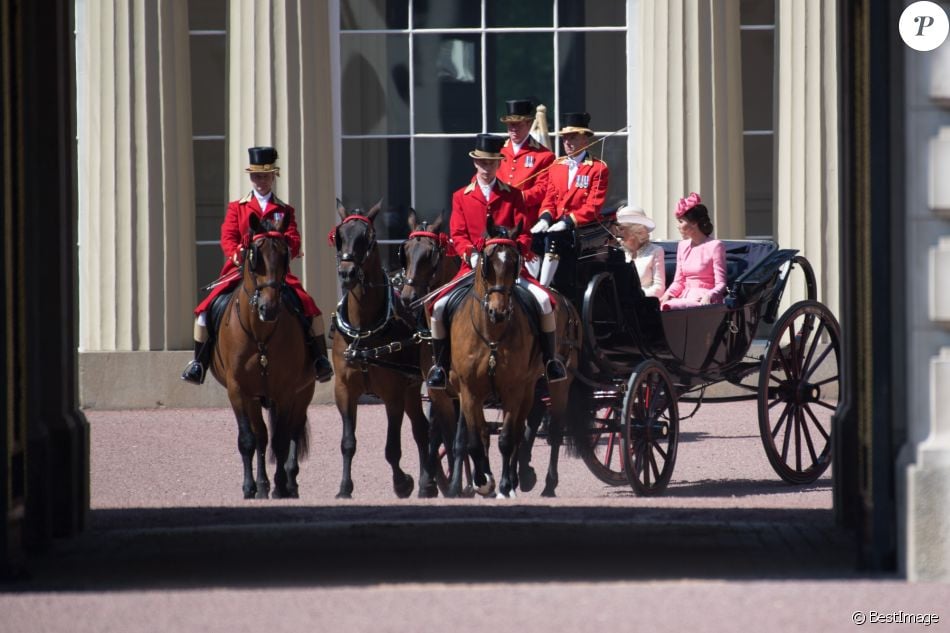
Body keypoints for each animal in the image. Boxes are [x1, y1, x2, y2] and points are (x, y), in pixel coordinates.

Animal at [210, 212, 314, 498]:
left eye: (284, 255)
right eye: (255, 256)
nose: (269, 308)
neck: (260, 336)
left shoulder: (287, 391)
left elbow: (281, 440)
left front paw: (279, 486)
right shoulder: (238, 390)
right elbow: (249, 439)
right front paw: (251, 487)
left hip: (302, 392)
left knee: (292, 431)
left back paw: (289, 482)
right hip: (256, 398)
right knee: (261, 436)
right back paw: (263, 484)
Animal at [328, 200, 432, 496]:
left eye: (368, 238)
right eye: (340, 235)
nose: (347, 273)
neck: (364, 330)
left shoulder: (393, 393)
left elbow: (392, 448)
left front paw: (402, 482)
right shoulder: (344, 390)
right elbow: (347, 443)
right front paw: (344, 488)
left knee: (423, 429)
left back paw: (426, 482)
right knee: (422, 428)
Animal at [448, 217, 544, 498]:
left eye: (515, 262)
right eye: (486, 262)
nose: (498, 312)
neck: (491, 334)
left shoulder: (514, 390)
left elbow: (507, 439)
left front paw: (503, 486)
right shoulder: (469, 391)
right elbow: (474, 439)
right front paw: (483, 480)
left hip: (528, 391)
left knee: (518, 434)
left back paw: (510, 480)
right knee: (479, 433)